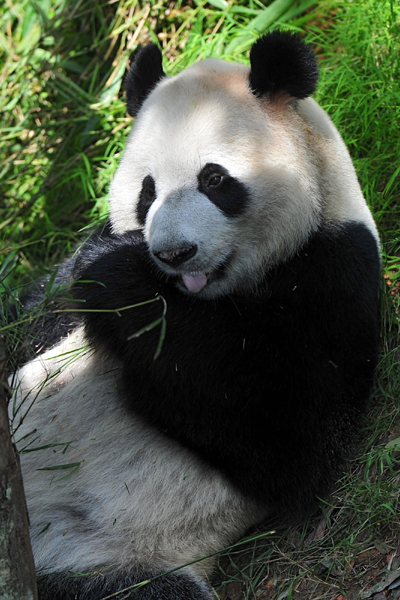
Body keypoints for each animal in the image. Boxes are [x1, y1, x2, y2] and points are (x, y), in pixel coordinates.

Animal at [11, 31, 382, 600]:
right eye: (147, 191)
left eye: (214, 179)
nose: (173, 253)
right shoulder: (58, 289)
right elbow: (34, 313)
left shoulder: (338, 273)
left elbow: (293, 434)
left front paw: (120, 279)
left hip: (103, 564)